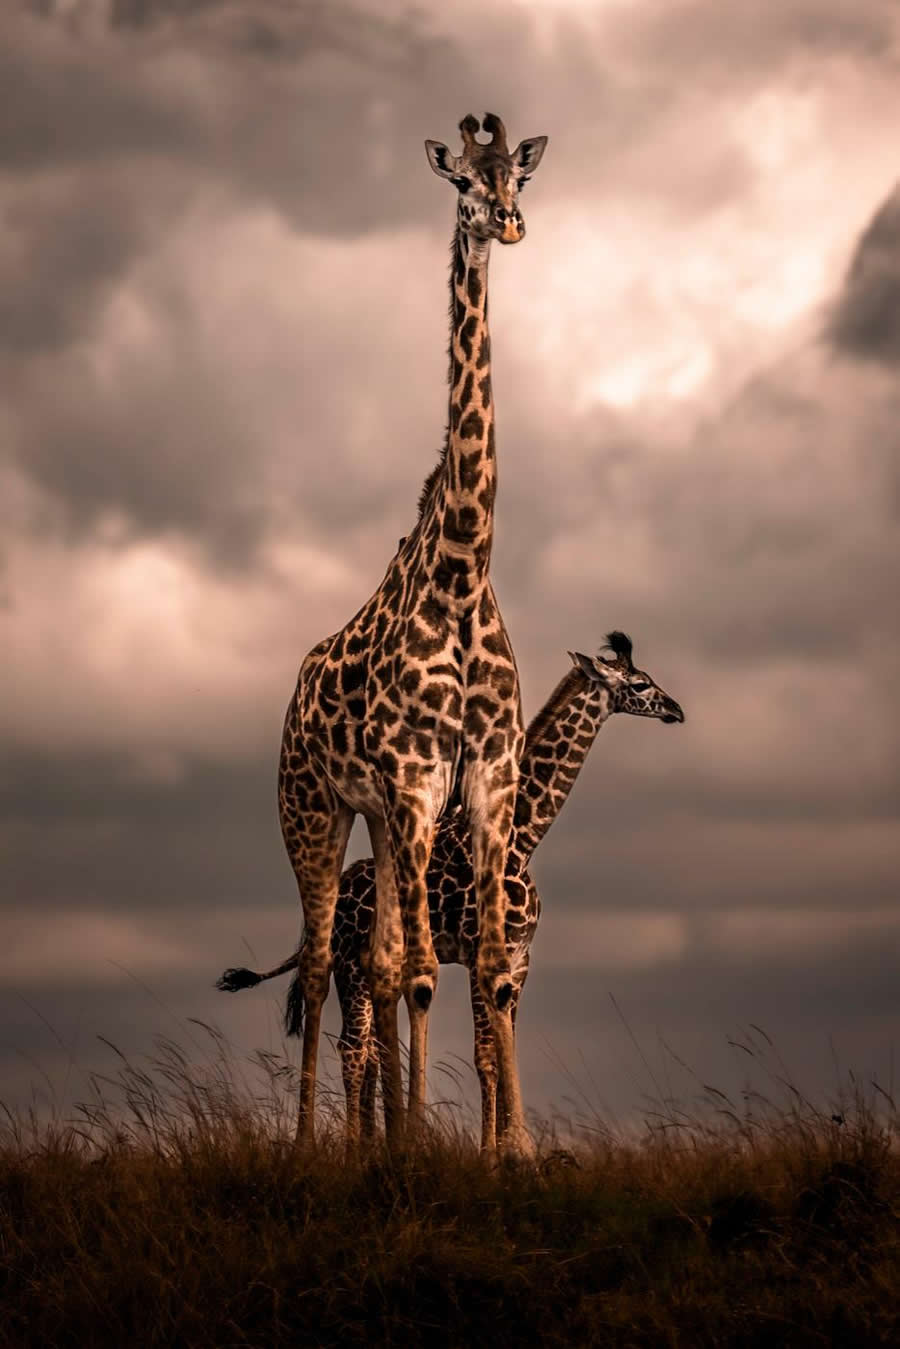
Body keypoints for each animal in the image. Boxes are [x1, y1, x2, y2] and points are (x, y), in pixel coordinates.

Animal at [219, 632, 684, 1151]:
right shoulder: (482, 952)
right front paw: (493, 1156)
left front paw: (510, 1149)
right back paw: (356, 1148)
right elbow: (485, 1057)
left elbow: (500, 1052)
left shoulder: (520, 959)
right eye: (640, 683)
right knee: (354, 1049)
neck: (523, 840)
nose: (676, 710)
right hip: (349, 968)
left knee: (367, 1049)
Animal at [277, 114, 547, 1151]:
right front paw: (434, 1150)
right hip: (316, 810)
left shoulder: (487, 776)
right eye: (461, 182)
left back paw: (381, 1139)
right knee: (323, 967)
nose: (507, 223)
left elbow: (487, 969)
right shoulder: (419, 779)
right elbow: (433, 971)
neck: (465, 570)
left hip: (385, 825)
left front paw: (507, 1155)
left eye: (519, 176)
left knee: (380, 963)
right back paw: (312, 1147)